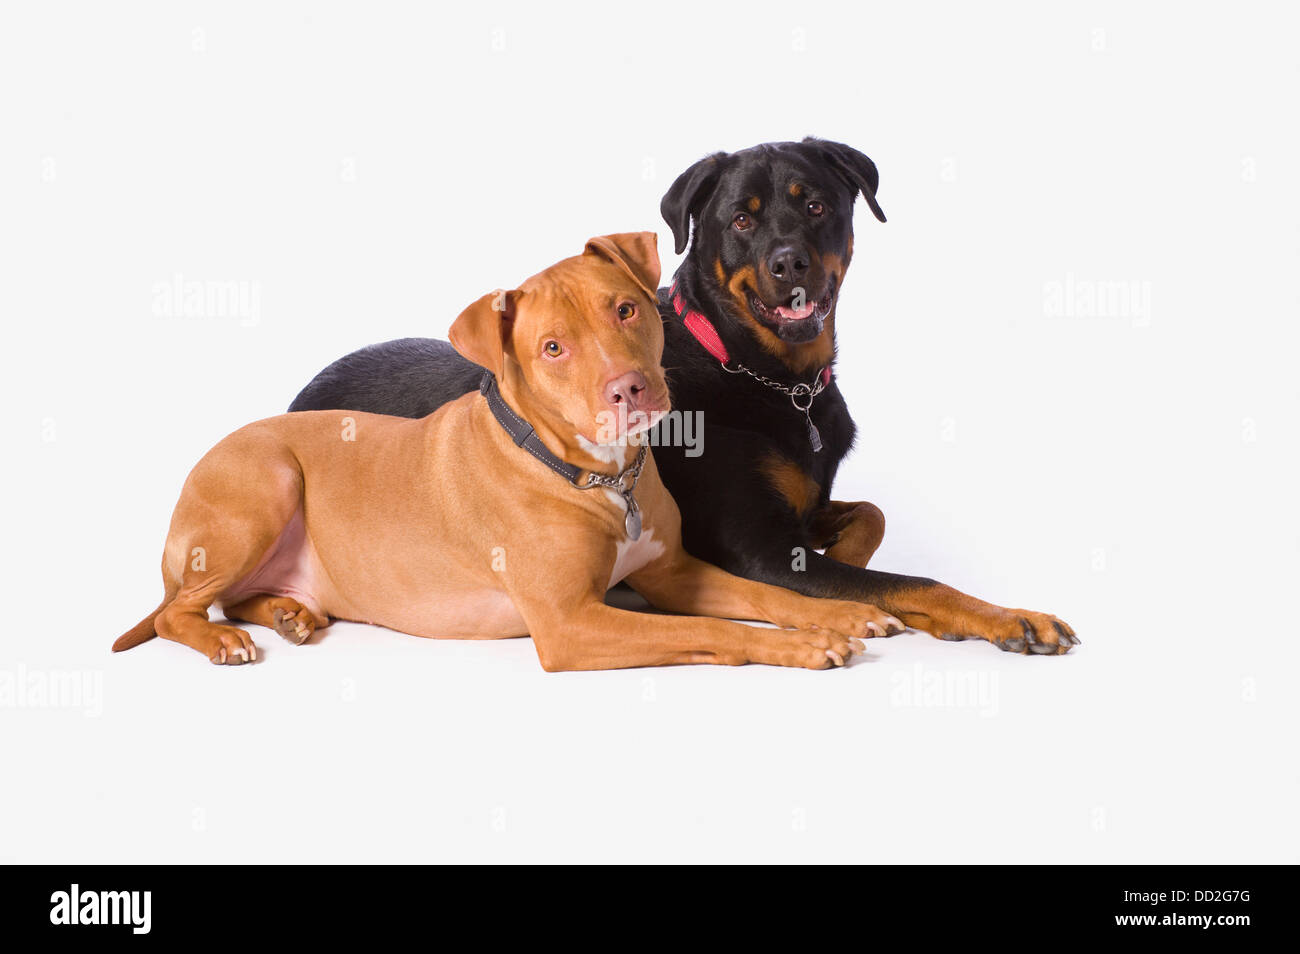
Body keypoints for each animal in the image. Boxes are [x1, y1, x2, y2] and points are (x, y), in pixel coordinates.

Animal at [114, 235, 904, 670]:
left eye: (626, 308)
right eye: (552, 348)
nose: (630, 388)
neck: (597, 476)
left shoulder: (674, 571)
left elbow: (766, 596)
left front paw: (843, 616)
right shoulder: (571, 624)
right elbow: (716, 630)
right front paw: (806, 646)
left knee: (230, 597)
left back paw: (288, 614)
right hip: (267, 481)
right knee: (175, 611)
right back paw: (227, 640)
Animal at [292, 136, 1076, 657]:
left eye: (816, 205)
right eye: (741, 219)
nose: (789, 262)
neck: (772, 376)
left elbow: (870, 520)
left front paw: (849, 551)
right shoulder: (757, 546)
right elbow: (910, 581)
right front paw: (1006, 616)